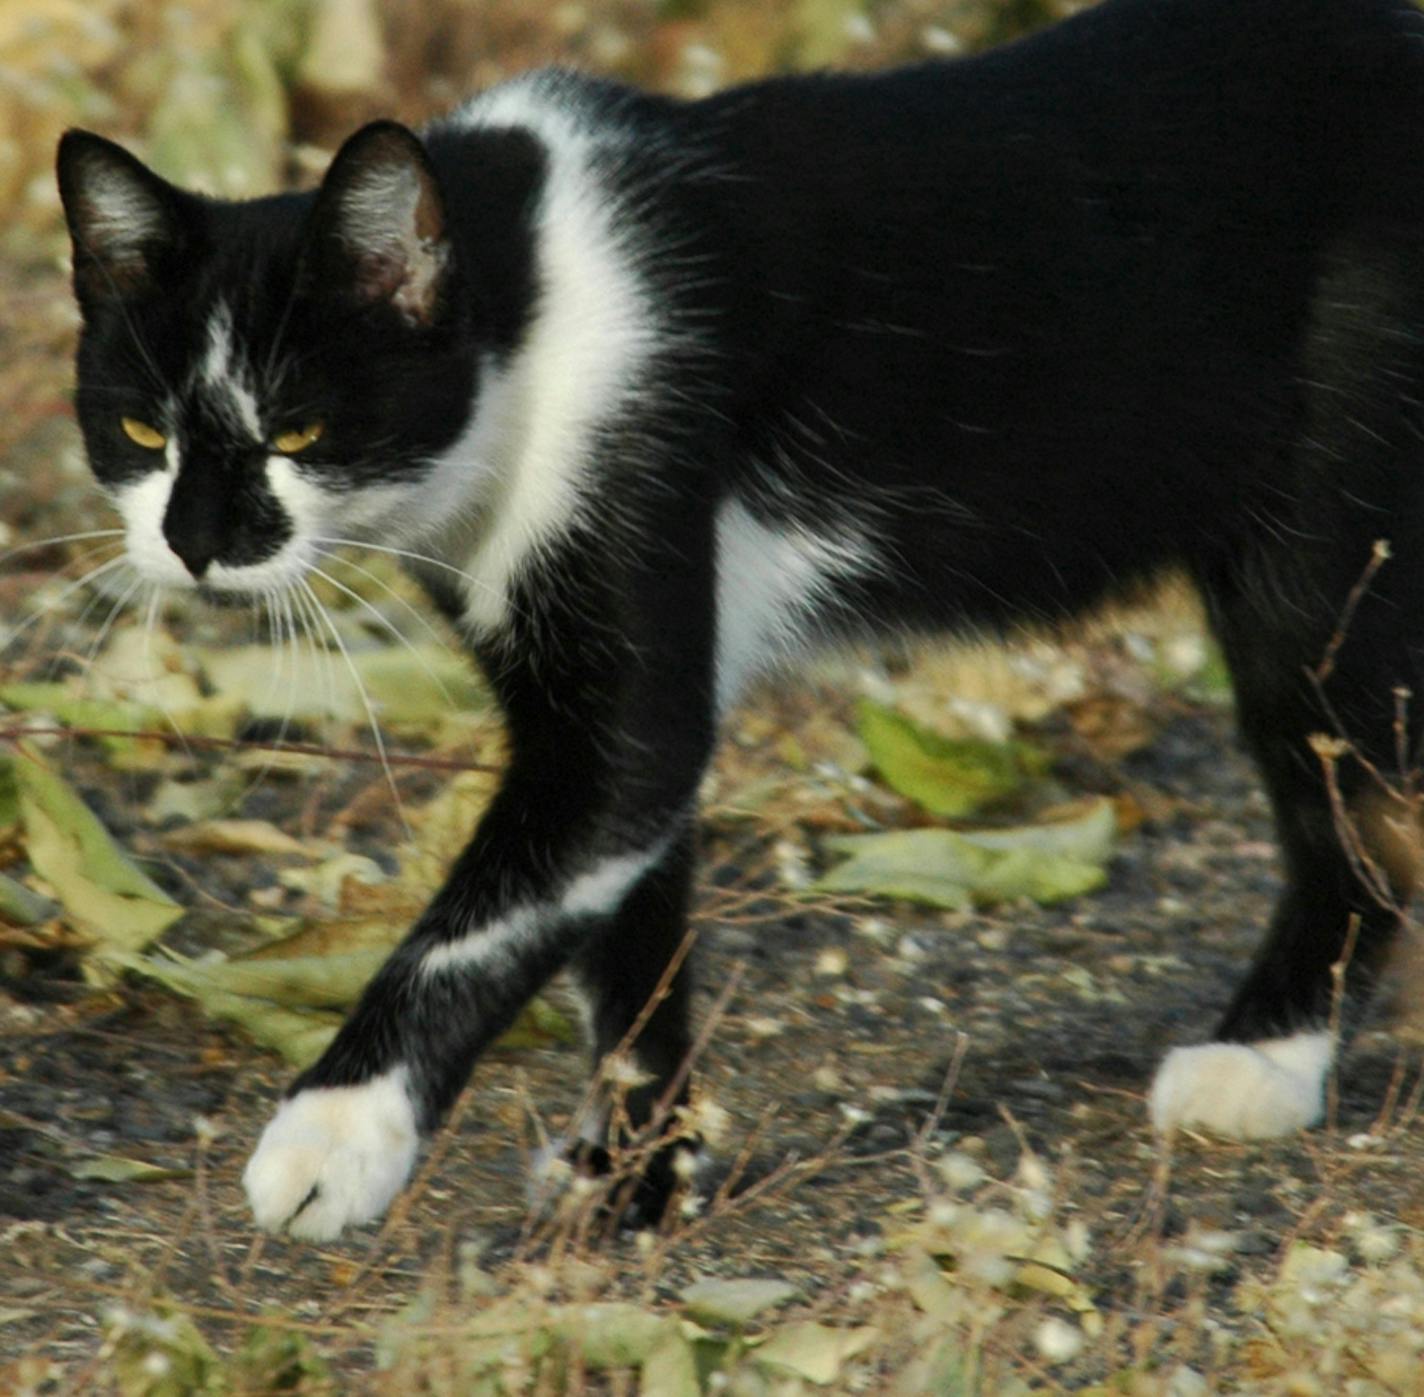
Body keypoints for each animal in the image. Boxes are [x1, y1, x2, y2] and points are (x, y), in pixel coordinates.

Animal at [52, 0, 1424, 1241]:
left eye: (297, 430)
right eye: (136, 431)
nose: (195, 541)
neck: (531, 307)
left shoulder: (632, 547)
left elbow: (486, 916)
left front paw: (337, 1132)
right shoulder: (601, 680)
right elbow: (627, 932)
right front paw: (635, 1172)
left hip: (1319, 561)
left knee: (1345, 804)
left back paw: (1265, 1053)